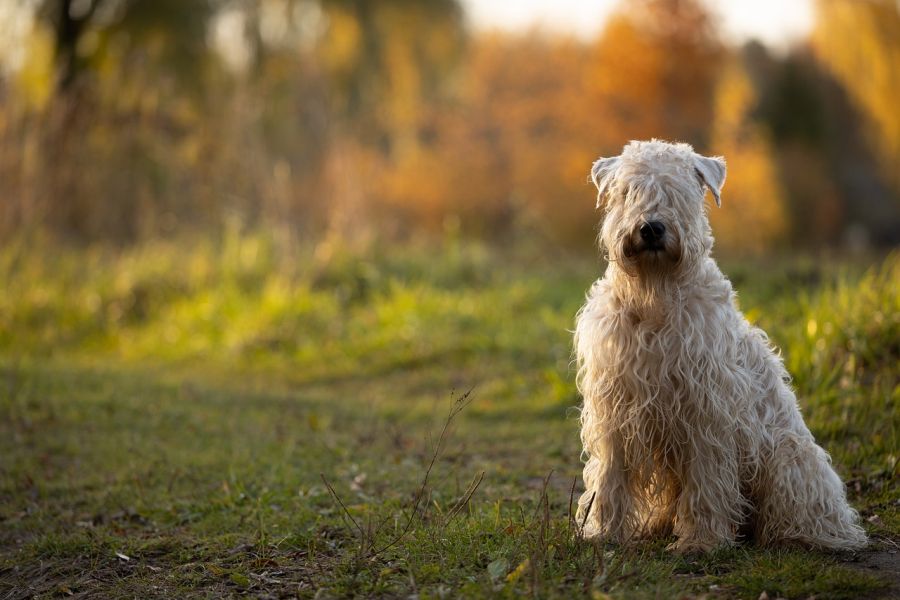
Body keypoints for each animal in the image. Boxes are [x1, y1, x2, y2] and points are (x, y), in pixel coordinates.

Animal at [576, 138, 864, 552]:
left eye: (679, 190)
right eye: (629, 190)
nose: (651, 228)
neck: (654, 298)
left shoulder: (706, 409)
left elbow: (707, 480)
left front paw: (701, 540)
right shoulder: (615, 407)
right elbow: (610, 477)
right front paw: (604, 532)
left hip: (787, 459)